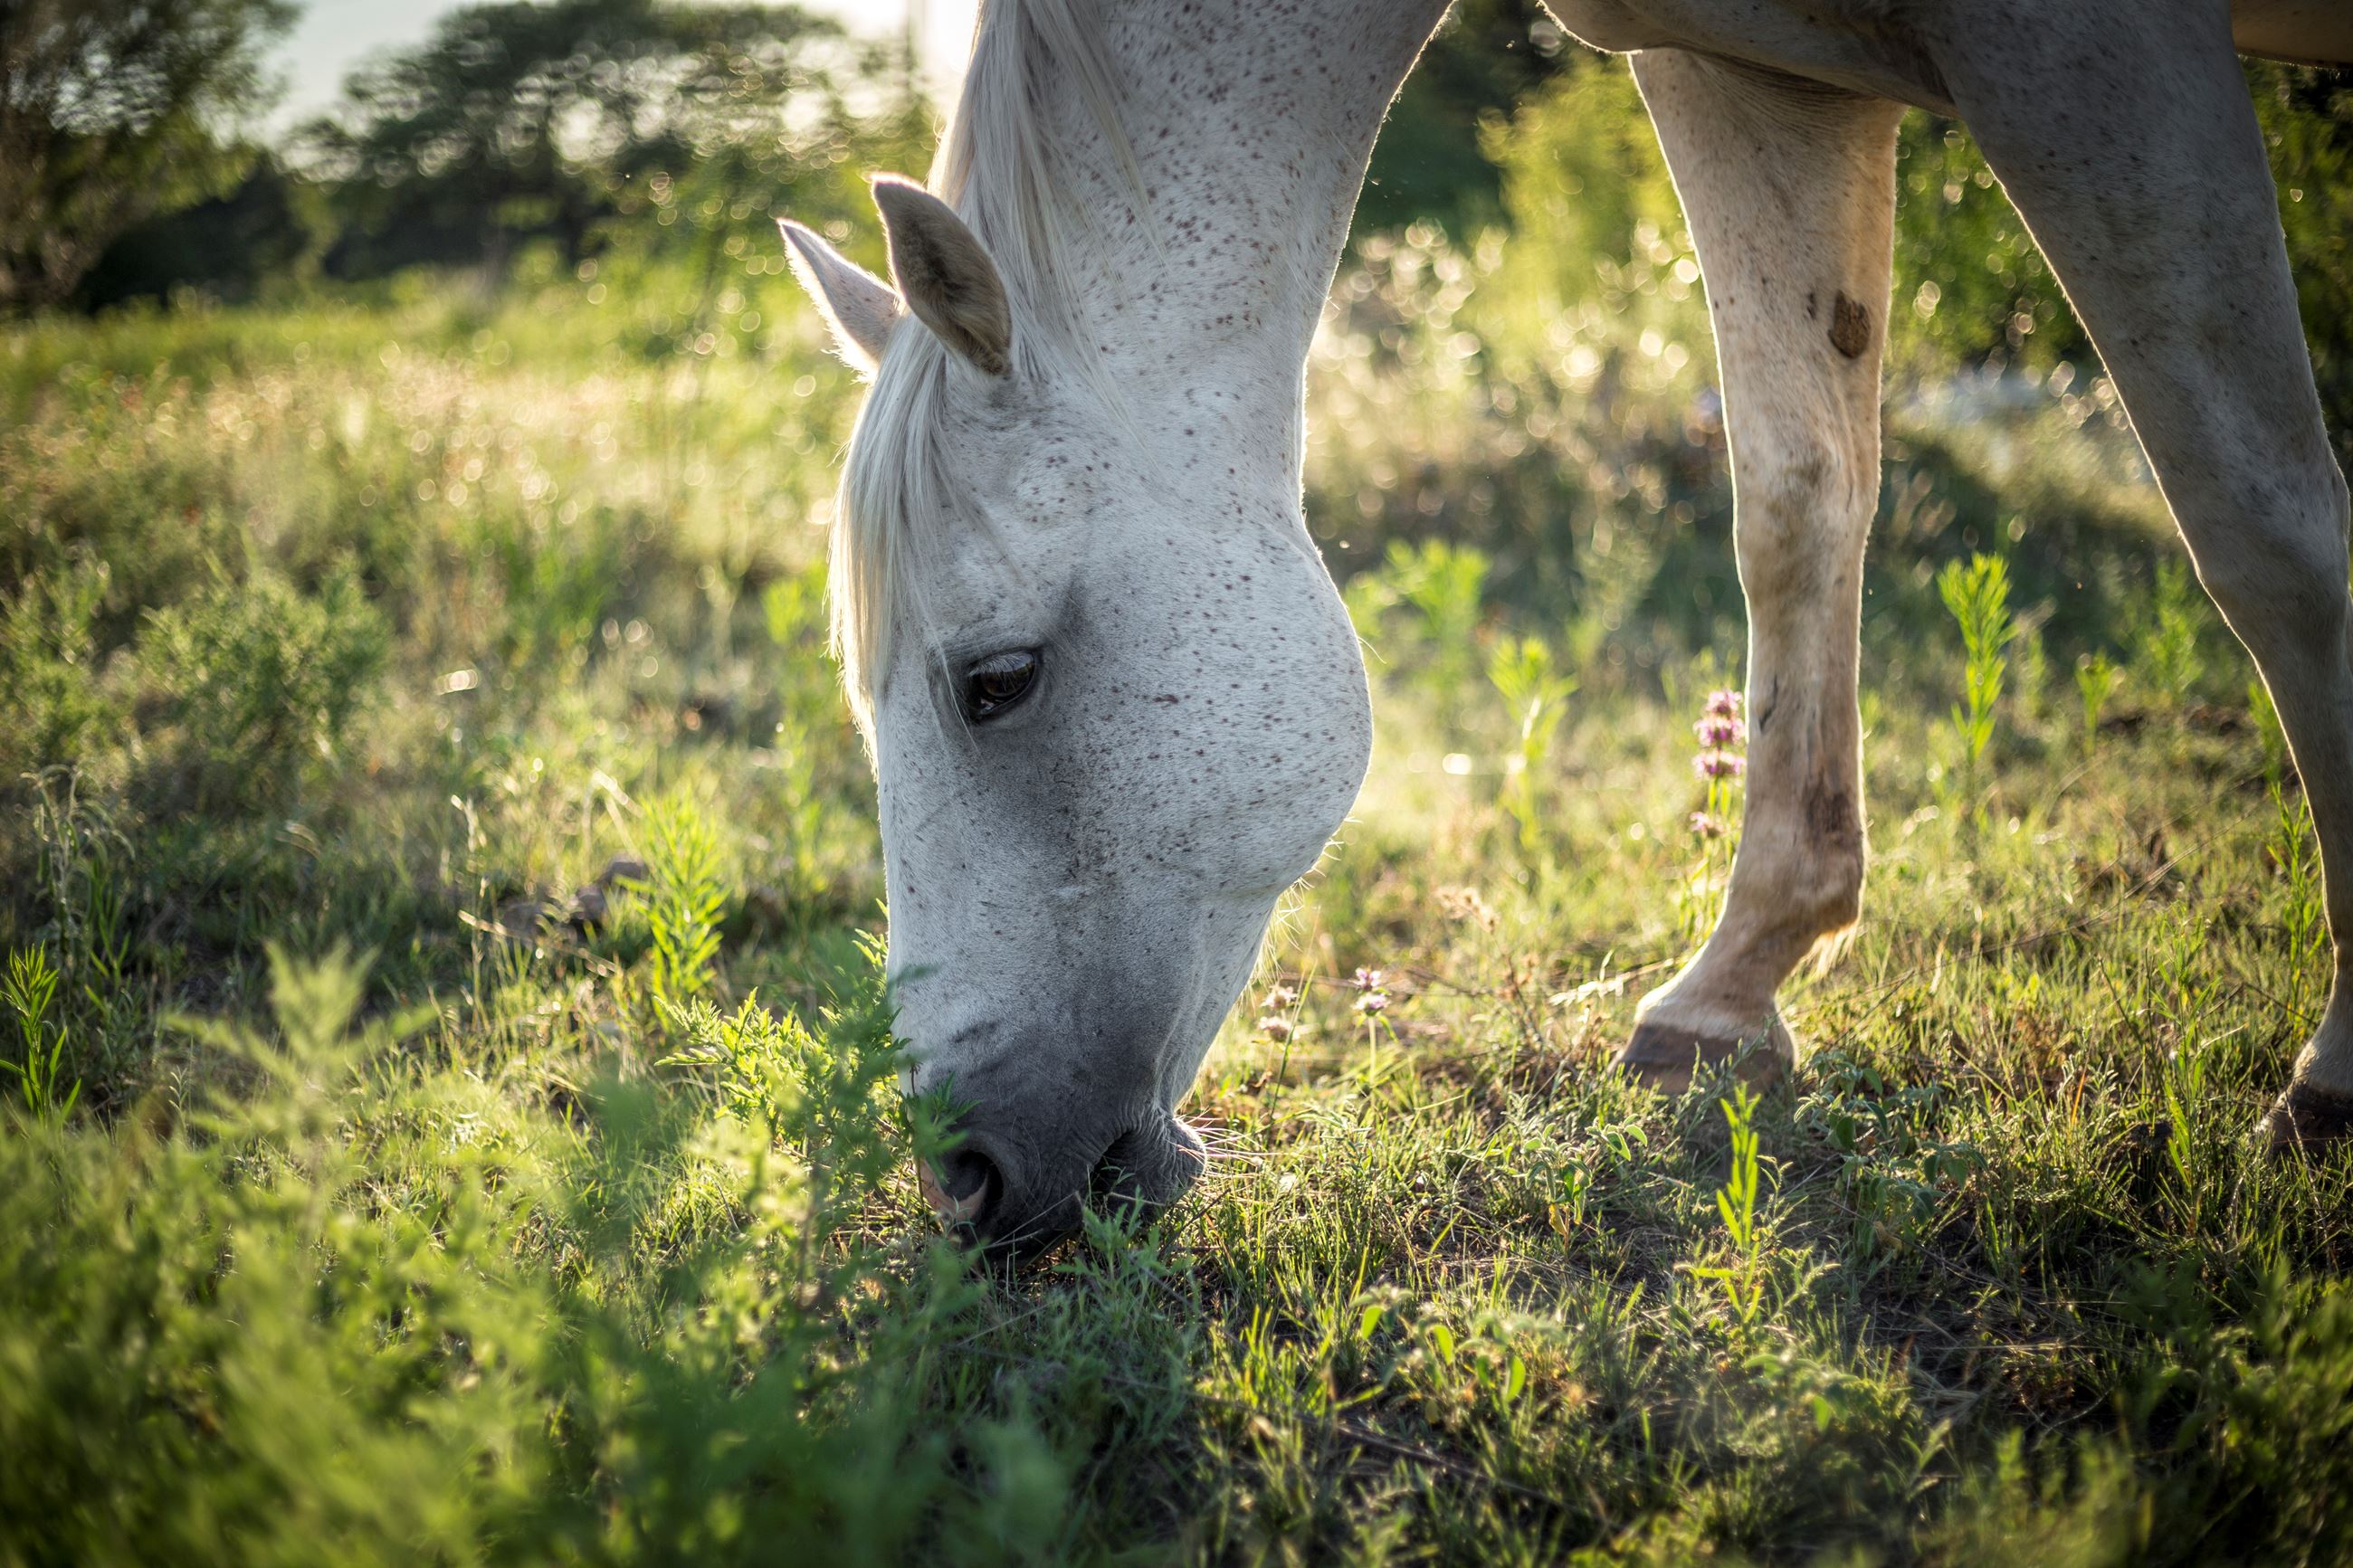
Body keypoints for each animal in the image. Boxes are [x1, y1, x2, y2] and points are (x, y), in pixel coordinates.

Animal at [780, 0, 2353, 1252]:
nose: (960, 1176)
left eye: (998, 681)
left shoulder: (2090, 59)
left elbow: (2262, 526)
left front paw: (2328, 1088)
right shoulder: (1746, 69)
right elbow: (1796, 501)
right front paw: (1729, 993)